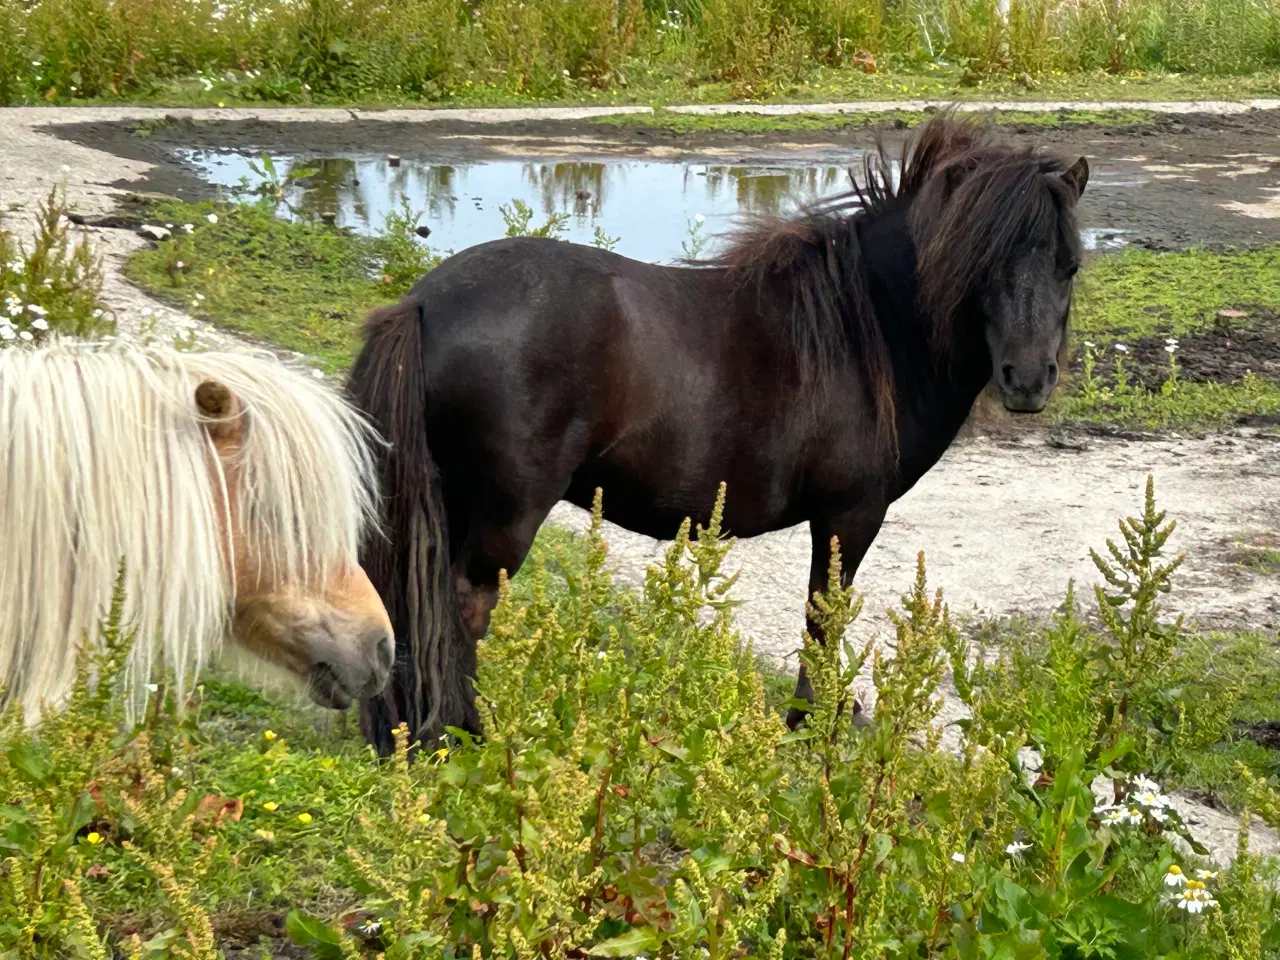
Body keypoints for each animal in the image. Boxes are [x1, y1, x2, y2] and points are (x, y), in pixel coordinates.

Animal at [350, 116, 1090, 757]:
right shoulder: (851, 514)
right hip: (505, 514)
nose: (1028, 379)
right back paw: (469, 734)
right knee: (466, 605)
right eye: (980, 262)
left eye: (1069, 265)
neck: (870, 326)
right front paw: (813, 724)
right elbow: (824, 615)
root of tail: (422, 302)